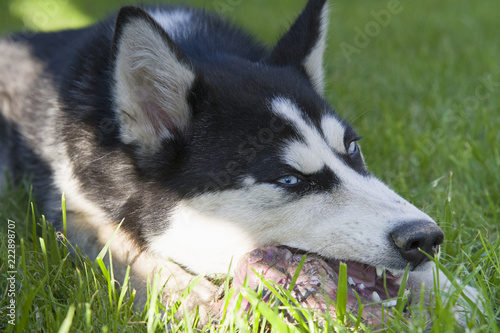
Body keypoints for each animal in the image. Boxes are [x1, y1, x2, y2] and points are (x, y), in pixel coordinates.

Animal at [1, 0, 482, 324]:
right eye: (288, 180)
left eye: (353, 152)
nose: (425, 238)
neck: (197, 49)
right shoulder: (71, 203)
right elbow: (117, 246)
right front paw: (189, 298)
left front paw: (452, 295)